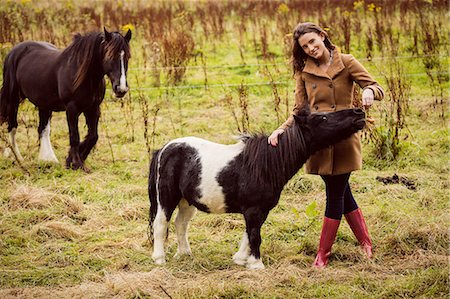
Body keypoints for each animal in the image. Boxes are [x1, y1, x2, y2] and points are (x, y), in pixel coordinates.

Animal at [148, 107, 366, 270]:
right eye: (323, 117)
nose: (359, 113)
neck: (265, 164)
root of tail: (164, 149)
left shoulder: (259, 210)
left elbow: (250, 232)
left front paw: (240, 259)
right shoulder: (253, 210)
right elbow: (255, 234)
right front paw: (256, 264)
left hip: (187, 201)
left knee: (181, 224)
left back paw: (184, 254)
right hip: (167, 198)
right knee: (161, 224)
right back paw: (159, 259)